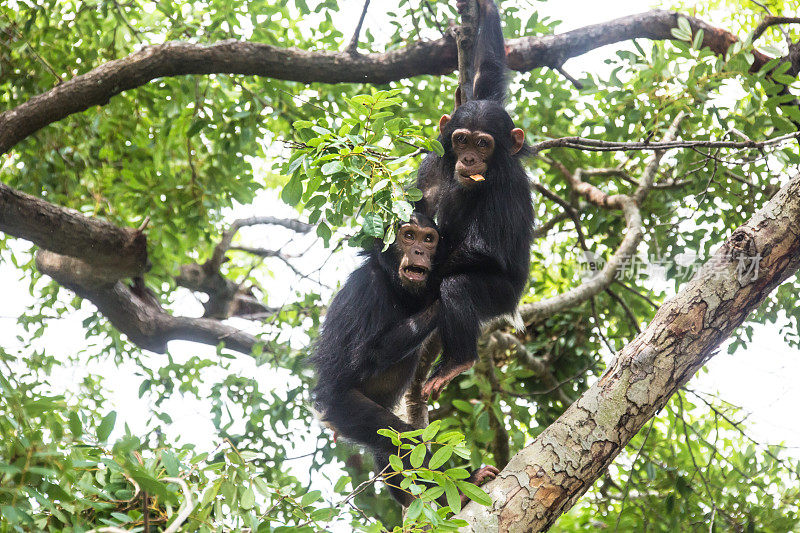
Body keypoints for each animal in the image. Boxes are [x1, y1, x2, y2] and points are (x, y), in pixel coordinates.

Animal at [310, 211, 494, 502]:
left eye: (428, 239)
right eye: (408, 236)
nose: (419, 250)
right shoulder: (366, 289)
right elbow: (363, 356)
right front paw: (448, 293)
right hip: (341, 406)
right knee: (403, 439)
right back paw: (453, 491)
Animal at [412, 0, 536, 400]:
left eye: (484, 143)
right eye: (462, 139)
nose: (468, 159)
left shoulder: (504, 187)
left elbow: (485, 247)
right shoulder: (434, 159)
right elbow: (488, 73)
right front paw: (486, 9)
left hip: (501, 297)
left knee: (458, 287)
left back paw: (457, 361)